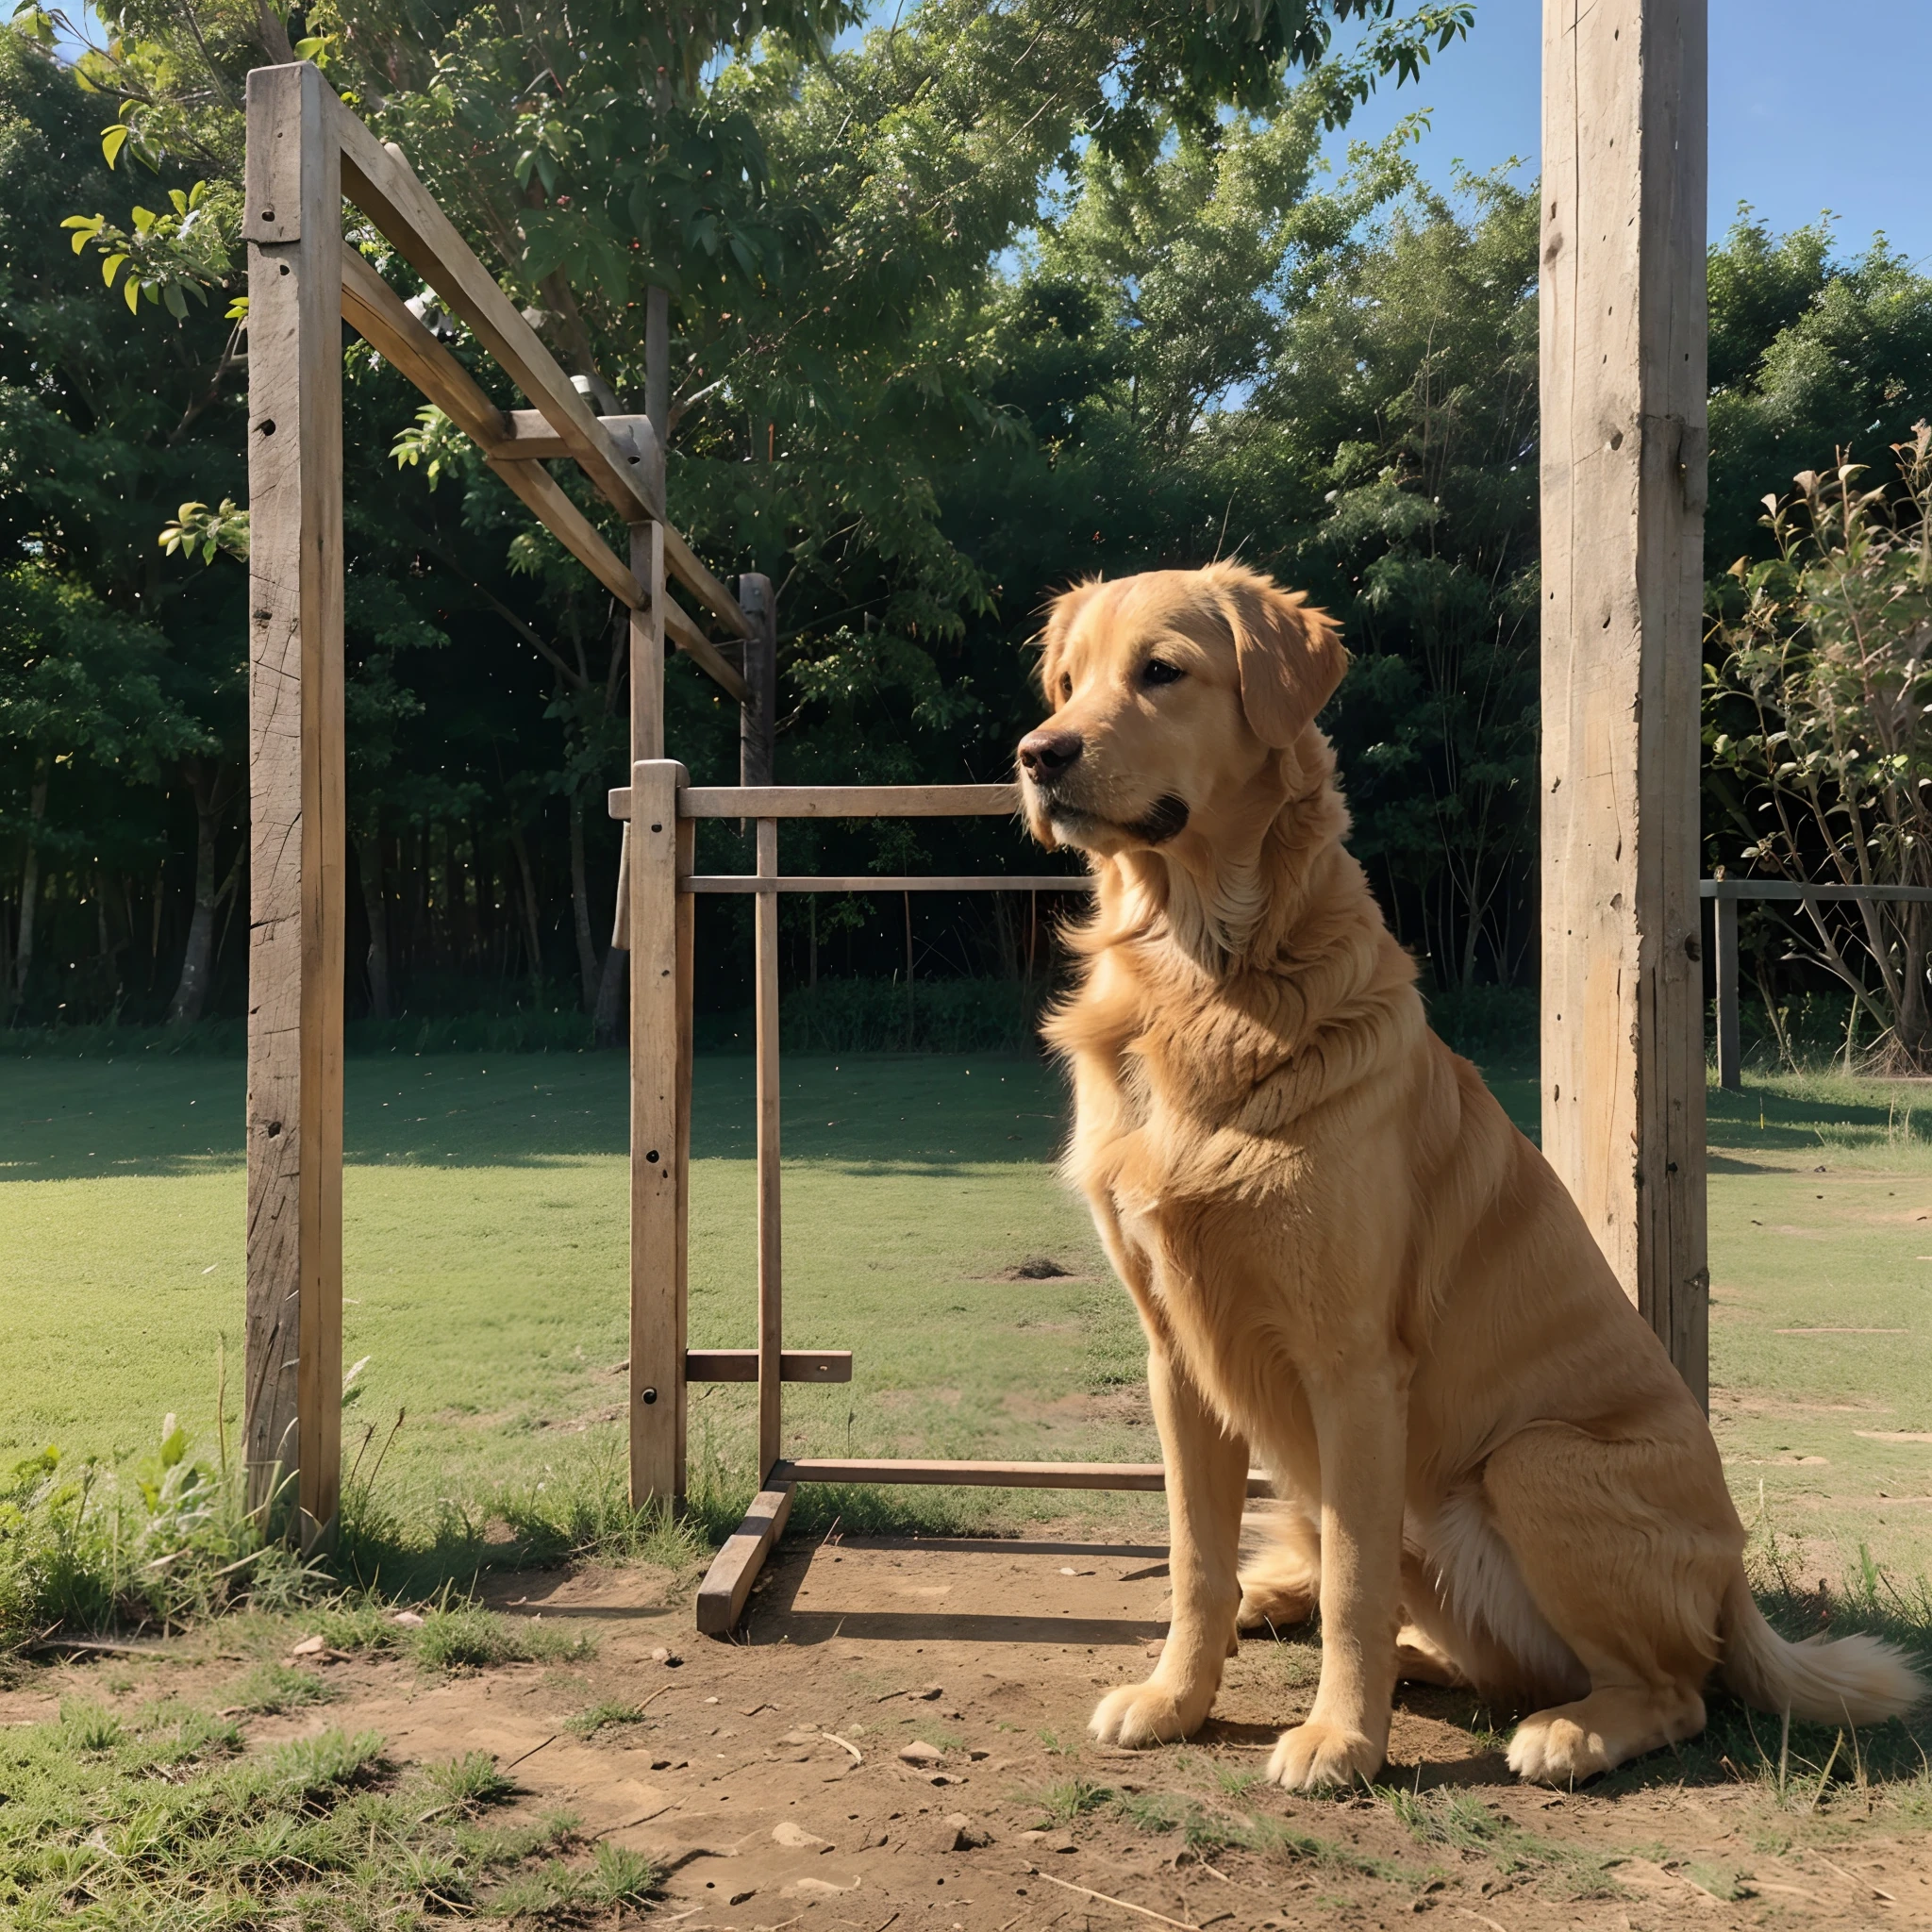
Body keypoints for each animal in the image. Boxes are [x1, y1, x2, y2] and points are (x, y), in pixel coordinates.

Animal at [1020, 564, 1924, 1792]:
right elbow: (1196, 1560)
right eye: (1069, 682)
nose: (1036, 754)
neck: (1204, 973)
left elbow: (1353, 1576)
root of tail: (1738, 1585)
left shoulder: (1354, 1365)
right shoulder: (1175, 1356)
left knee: (1673, 1692)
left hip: (1531, 1461)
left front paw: (1340, 1738)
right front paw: (1175, 1698)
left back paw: (1564, 1730)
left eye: (1161, 671)